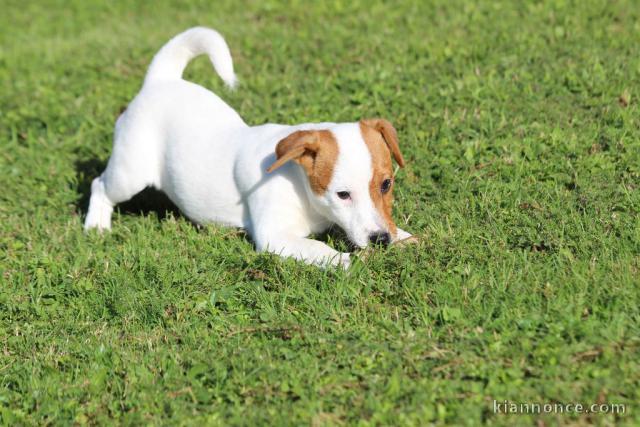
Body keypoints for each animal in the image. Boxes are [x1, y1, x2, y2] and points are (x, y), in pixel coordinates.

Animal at [84, 26, 416, 268]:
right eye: (342, 194)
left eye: (386, 184)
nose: (380, 239)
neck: (299, 184)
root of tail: (160, 81)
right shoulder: (275, 236)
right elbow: (317, 248)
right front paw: (344, 261)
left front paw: (404, 237)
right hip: (130, 173)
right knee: (99, 185)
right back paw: (96, 226)